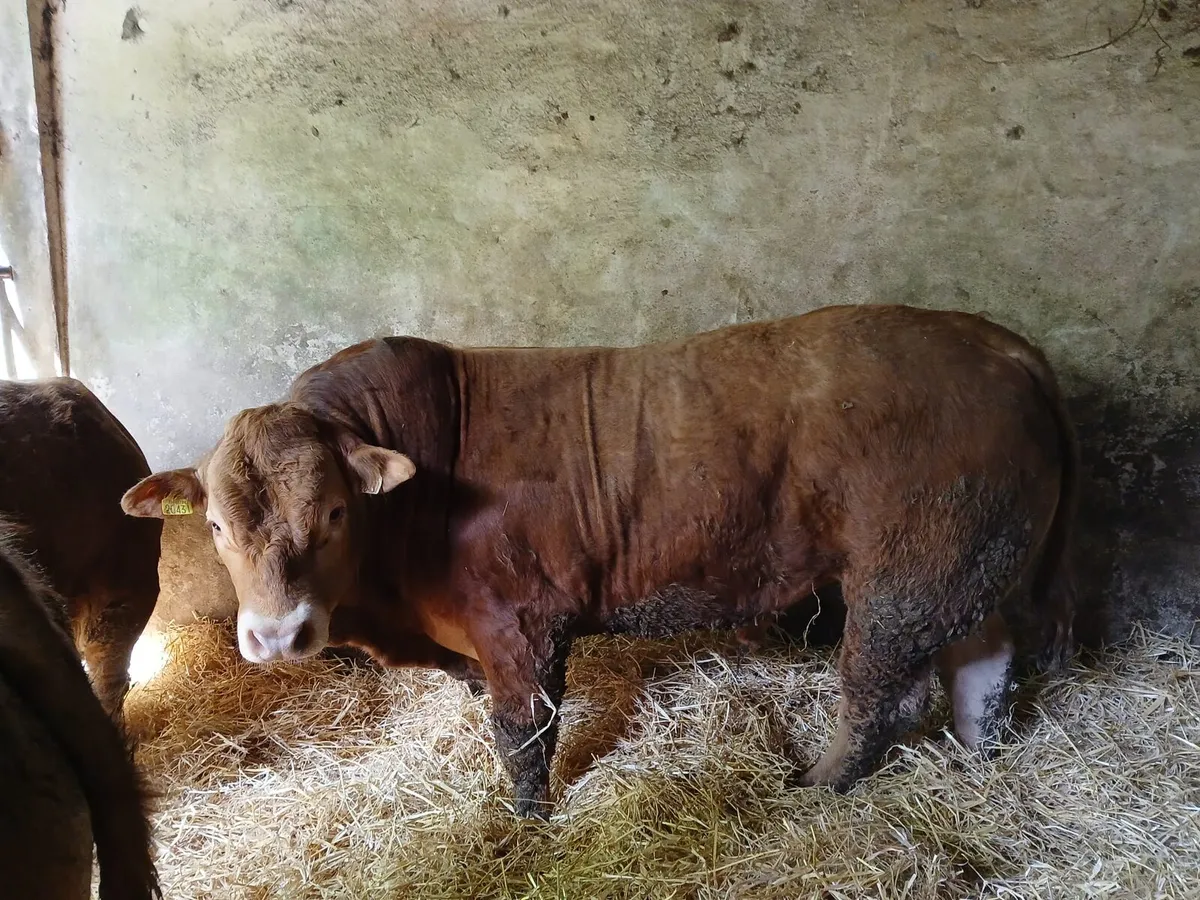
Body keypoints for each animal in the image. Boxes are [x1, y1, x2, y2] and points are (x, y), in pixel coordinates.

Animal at [122, 304, 1078, 818]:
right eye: (215, 525)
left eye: (328, 510)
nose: (276, 635)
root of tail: (1001, 347)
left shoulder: (521, 622)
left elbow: (523, 733)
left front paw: (528, 820)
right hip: (971, 565)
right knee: (985, 662)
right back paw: (977, 756)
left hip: (907, 575)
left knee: (881, 693)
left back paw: (816, 782)